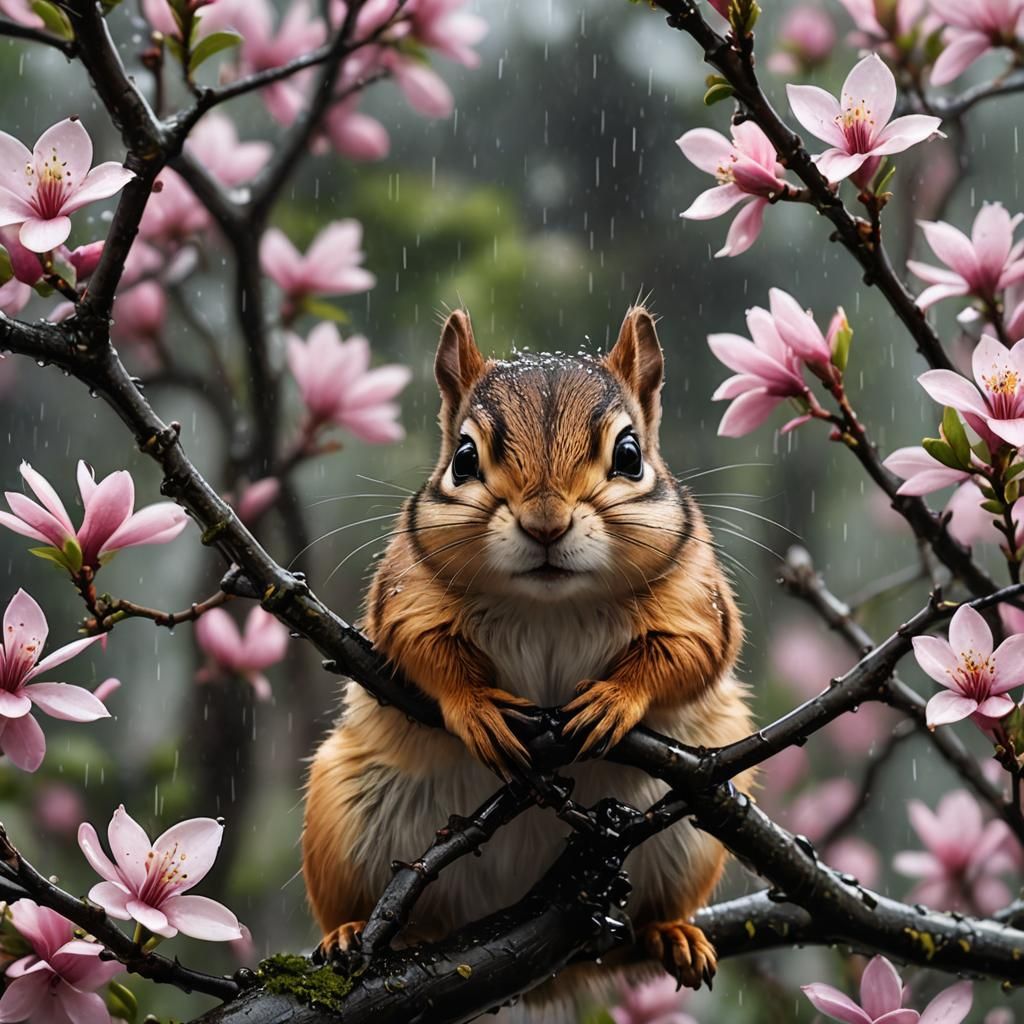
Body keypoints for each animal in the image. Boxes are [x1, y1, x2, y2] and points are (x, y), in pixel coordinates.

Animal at [302, 306, 754, 1015]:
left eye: (630, 455)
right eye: (464, 458)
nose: (545, 523)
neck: (550, 605)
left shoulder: (697, 599)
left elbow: (688, 655)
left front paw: (614, 700)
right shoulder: (406, 590)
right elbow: (421, 647)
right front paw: (477, 708)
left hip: (687, 843)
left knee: (658, 910)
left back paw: (674, 933)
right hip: (344, 816)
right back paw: (353, 932)